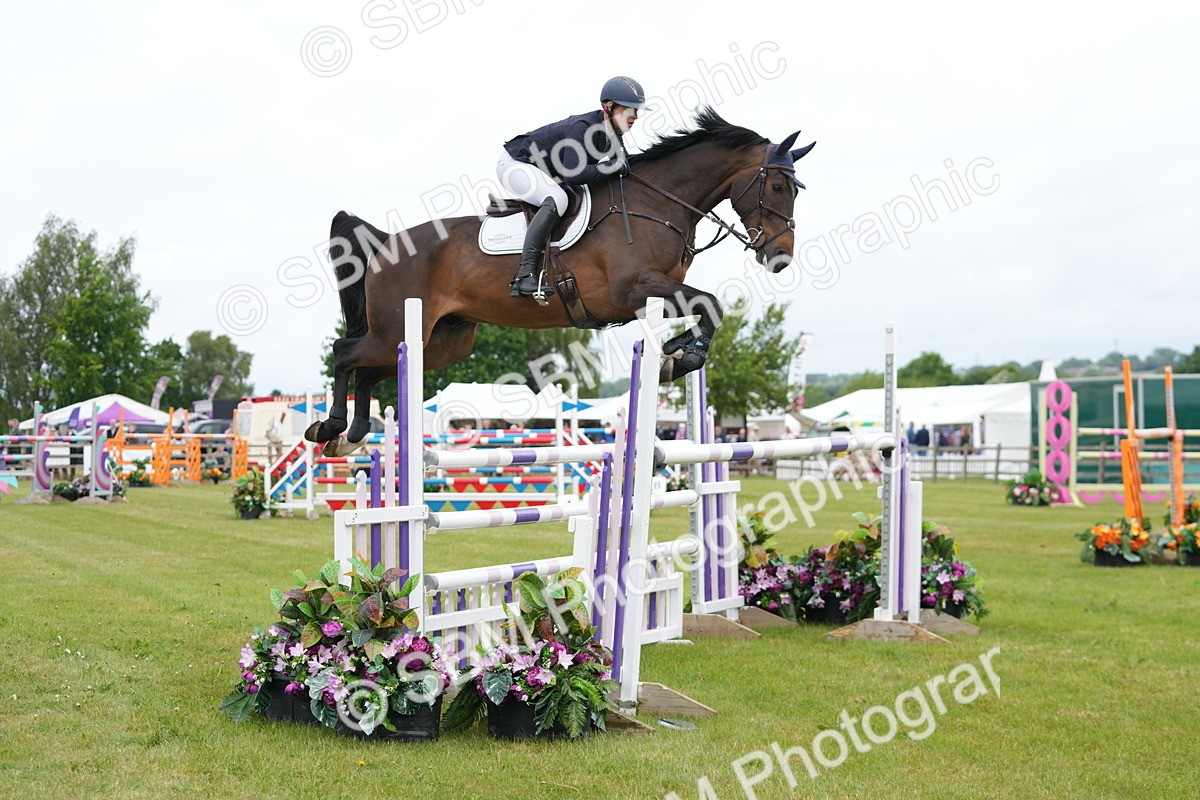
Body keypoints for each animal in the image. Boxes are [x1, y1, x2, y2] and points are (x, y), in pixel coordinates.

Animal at [308, 107, 814, 456]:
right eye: (777, 187)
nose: (780, 258)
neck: (657, 204)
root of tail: (385, 243)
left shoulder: (649, 295)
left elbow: (707, 307)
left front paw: (674, 354)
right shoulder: (631, 291)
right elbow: (711, 303)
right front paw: (681, 357)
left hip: (441, 343)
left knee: (371, 368)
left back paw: (351, 436)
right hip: (395, 328)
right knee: (345, 352)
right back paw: (331, 427)